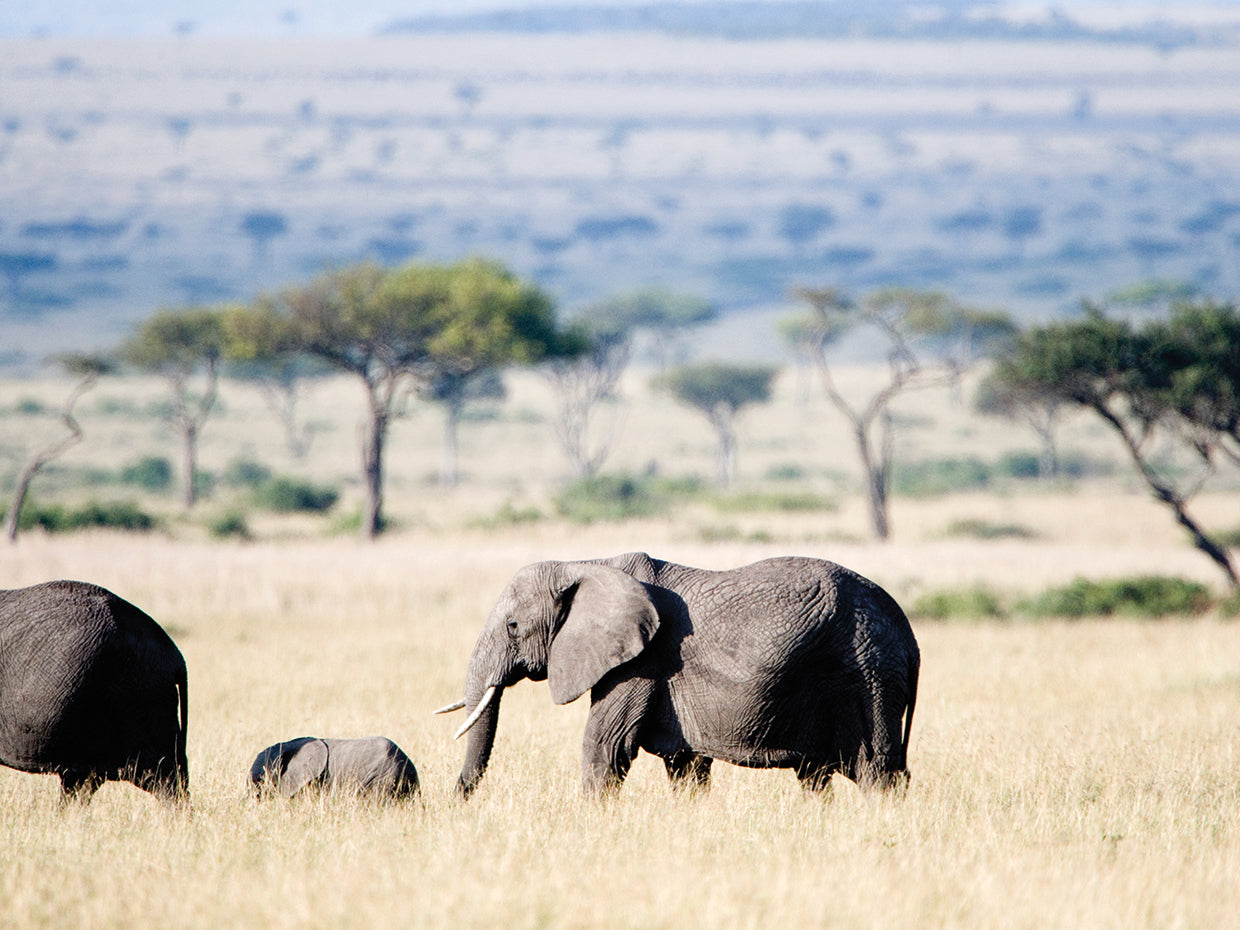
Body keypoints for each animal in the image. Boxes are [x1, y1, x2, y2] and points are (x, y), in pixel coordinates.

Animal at [438, 552, 919, 799]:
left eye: (513, 626)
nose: (456, 800)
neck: (586, 564)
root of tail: (910, 638)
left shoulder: (641, 662)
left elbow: (605, 748)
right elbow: (685, 766)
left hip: (869, 673)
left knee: (876, 770)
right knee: (817, 775)